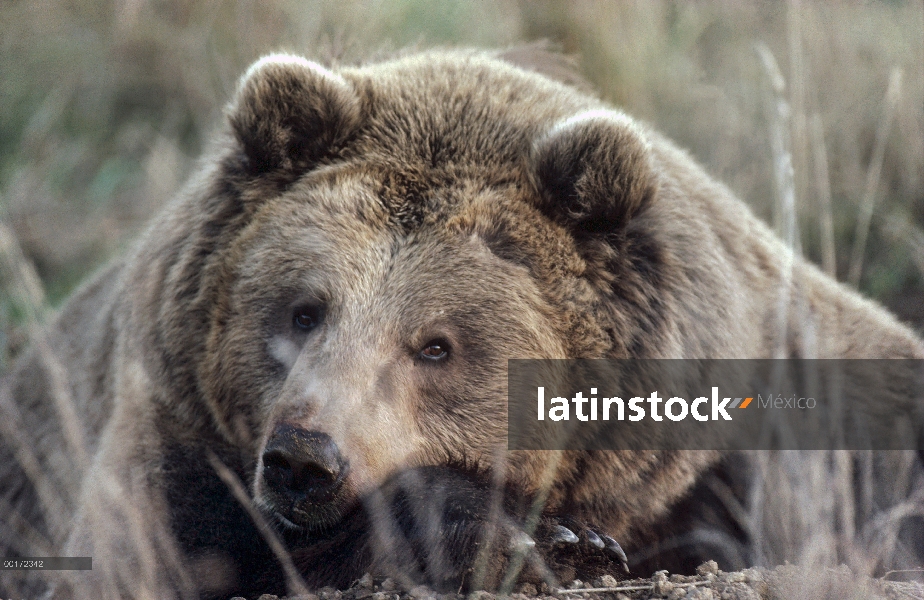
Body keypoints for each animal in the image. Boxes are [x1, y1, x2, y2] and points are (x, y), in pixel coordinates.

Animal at [1, 48, 924, 600]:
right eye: (304, 309)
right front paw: (547, 538)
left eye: (435, 345)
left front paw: (569, 539)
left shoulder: (782, 429)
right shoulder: (171, 423)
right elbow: (147, 549)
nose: (305, 458)